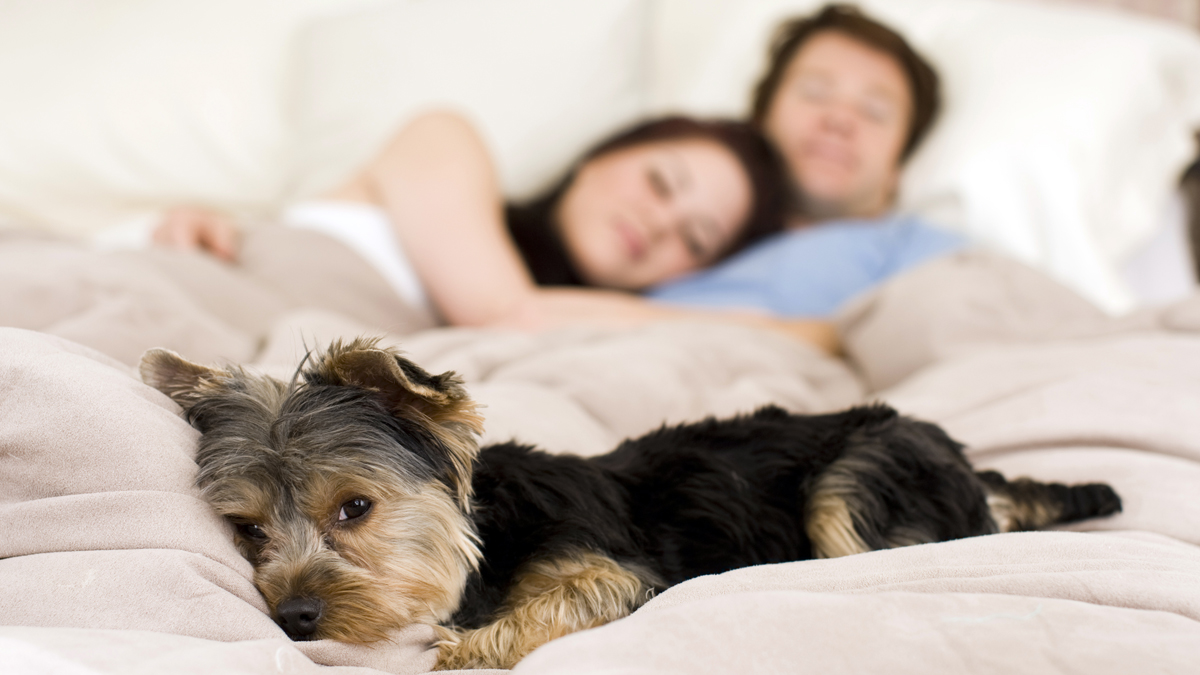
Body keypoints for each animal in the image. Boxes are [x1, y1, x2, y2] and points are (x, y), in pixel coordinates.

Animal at [140, 338, 1123, 662]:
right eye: (247, 530)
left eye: (354, 509)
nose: (296, 617)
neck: (486, 541)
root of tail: (966, 460)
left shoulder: (610, 565)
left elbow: (567, 597)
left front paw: (471, 645)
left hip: (864, 473)